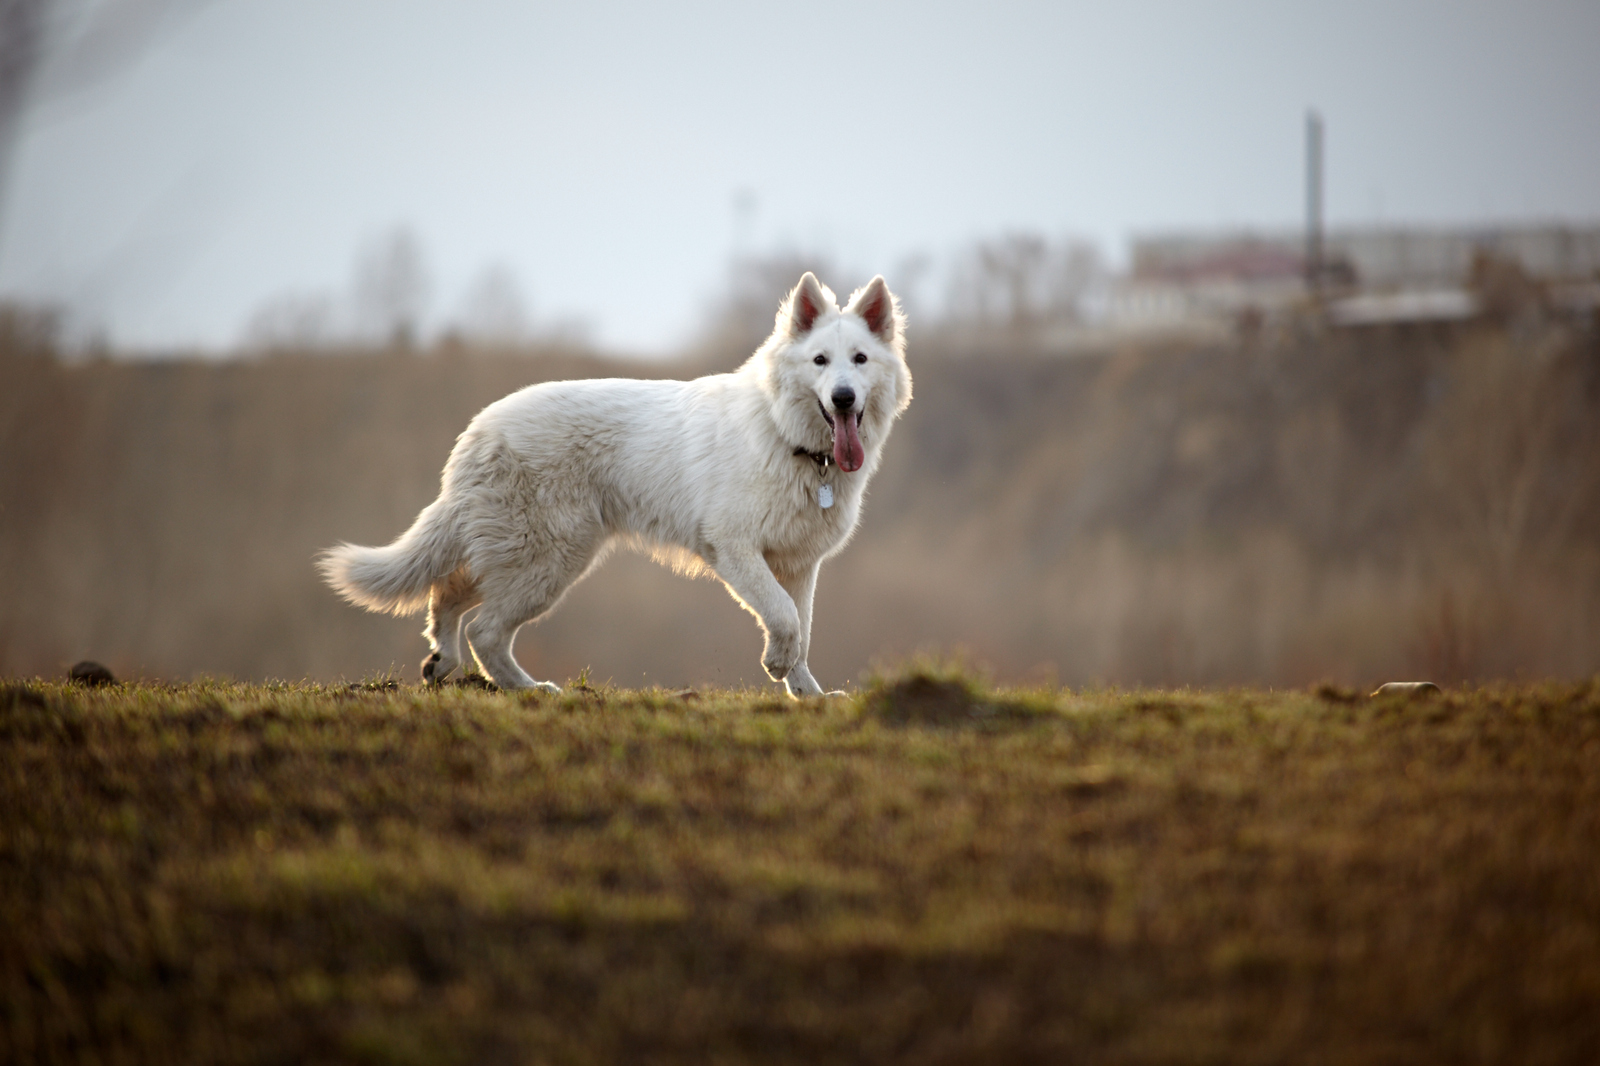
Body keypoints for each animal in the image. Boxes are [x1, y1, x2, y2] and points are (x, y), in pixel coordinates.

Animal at [318, 270, 908, 694]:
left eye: (859, 359)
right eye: (820, 360)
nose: (843, 399)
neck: (792, 440)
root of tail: (479, 429)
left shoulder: (799, 566)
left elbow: (802, 629)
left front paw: (807, 694)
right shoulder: (735, 549)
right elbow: (784, 619)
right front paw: (779, 666)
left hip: (522, 555)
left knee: (446, 595)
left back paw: (443, 663)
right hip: (549, 561)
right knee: (484, 628)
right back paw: (529, 690)